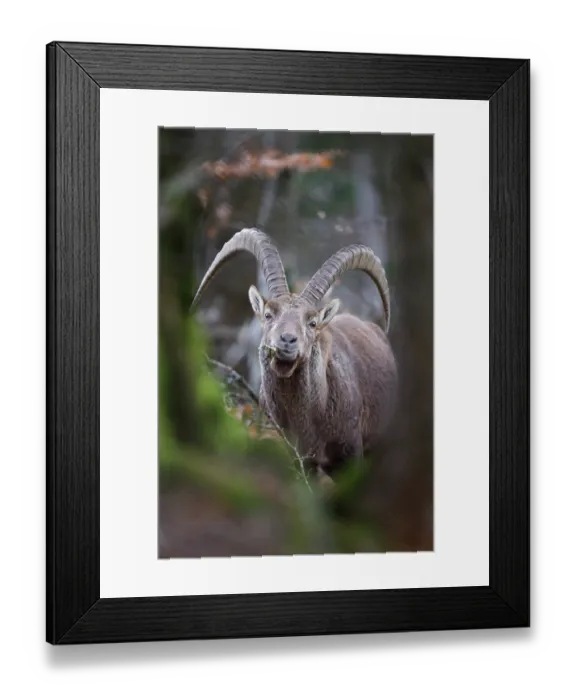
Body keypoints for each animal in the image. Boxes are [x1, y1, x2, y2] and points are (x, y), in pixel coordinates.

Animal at [191, 228, 398, 479]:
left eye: (312, 322)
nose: (287, 340)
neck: (309, 420)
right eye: (268, 314)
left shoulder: (351, 455)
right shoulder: (301, 460)